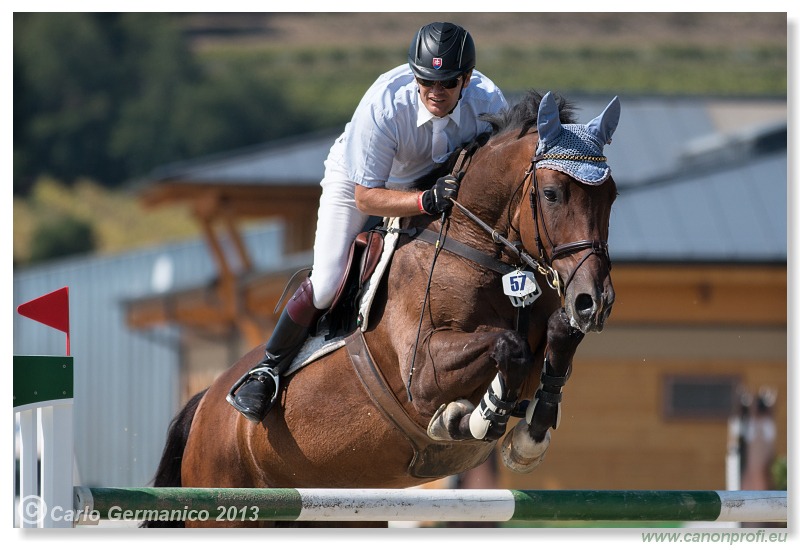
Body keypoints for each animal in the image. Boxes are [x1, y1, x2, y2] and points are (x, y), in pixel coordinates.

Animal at [142, 91, 620, 532]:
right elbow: (509, 346)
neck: (476, 247)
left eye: (612, 196)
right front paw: (475, 417)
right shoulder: (420, 375)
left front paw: (531, 431)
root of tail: (203, 405)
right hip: (228, 507)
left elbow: (559, 333)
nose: (594, 302)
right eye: (553, 194)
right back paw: (256, 390)